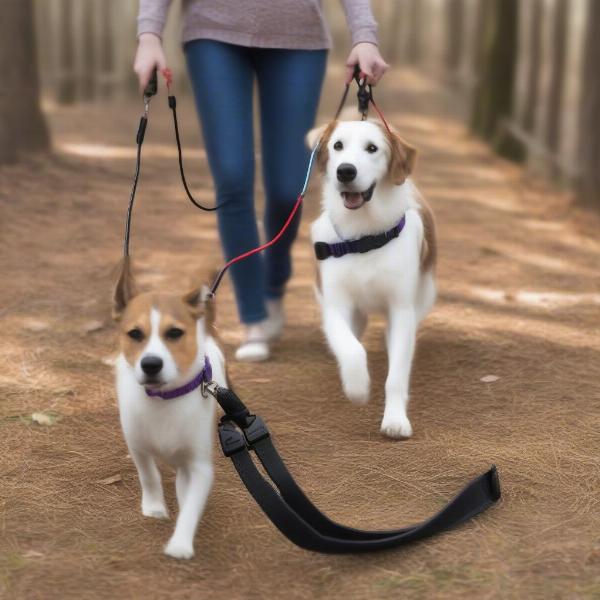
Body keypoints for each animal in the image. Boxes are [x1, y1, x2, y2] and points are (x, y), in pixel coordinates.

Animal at [111, 260, 226, 560]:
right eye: (135, 334)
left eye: (174, 333)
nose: (151, 364)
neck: (165, 399)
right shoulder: (137, 446)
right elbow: (149, 476)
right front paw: (154, 507)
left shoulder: (199, 466)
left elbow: (191, 504)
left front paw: (180, 544)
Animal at [310, 119, 436, 438]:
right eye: (338, 145)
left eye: (372, 148)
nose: (345, 171)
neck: (363, 237)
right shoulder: (335, 306)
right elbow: (351, 348)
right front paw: (357, 387)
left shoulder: (402, 309)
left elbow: (397, 375)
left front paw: (395, 420)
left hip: (423, 296)